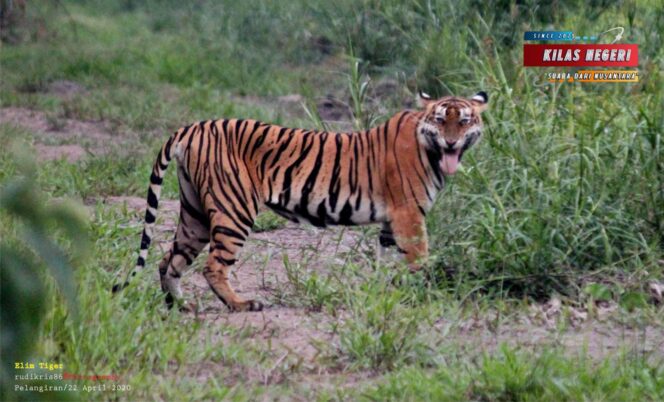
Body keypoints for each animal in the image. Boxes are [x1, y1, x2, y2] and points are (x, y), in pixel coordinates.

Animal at [112, 91, 489, 312]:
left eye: (464, 120)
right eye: (440, 120)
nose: (451, 142)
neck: (432, 151)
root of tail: (193, 126)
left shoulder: (390, 221)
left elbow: (387, 259)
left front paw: (386, 293)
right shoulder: (409, 214)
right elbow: (419, 258)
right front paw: (424, 294)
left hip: (195, 215)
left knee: (168, 260)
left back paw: (180, 306)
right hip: (234, 210)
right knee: (213, 266)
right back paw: (242, 304)